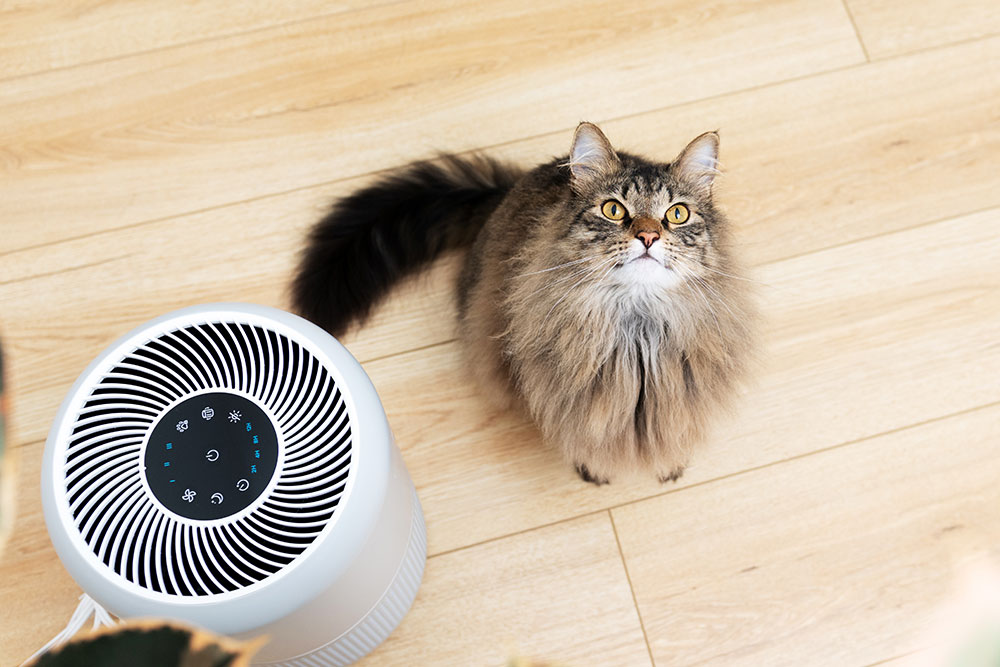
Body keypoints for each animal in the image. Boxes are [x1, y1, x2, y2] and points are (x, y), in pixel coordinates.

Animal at [292, 121, 752, 486]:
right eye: (612, 209)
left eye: (676, 214)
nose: (648, 236)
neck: (637, 331)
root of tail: (506, 192)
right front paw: (593, 469)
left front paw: (671, 464)